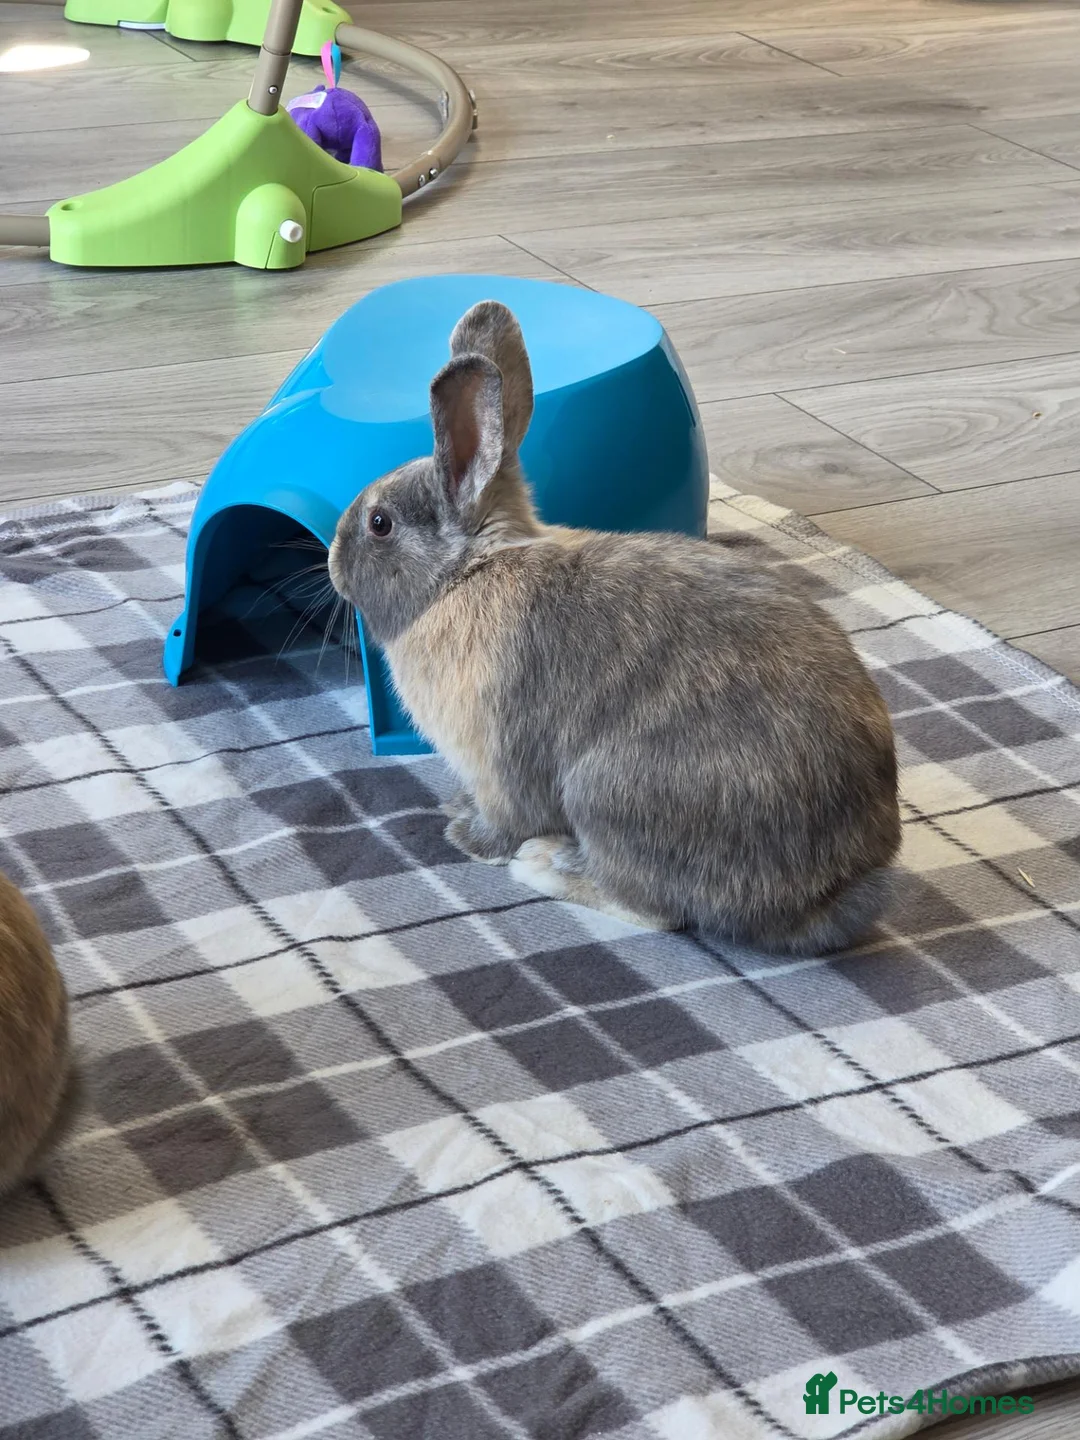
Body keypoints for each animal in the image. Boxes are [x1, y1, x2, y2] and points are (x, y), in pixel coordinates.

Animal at [328, 301, 901, 956]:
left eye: (379, 523)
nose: (331, 562)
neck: (463, 575)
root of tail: (832, 889)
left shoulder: (498, 765)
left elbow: (503, 821)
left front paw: (467, 837)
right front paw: (454, 807)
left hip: (605, 794)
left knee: (655, 909)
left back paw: (545, 864)